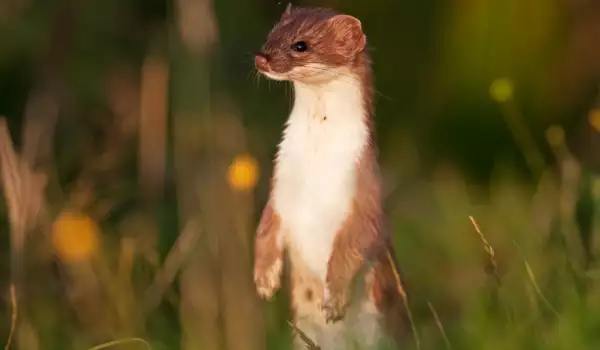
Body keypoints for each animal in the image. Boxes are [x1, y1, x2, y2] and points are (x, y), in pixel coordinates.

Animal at [251, 5, 410, 350]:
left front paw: (334, 300)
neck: (315, 165)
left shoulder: (364, 191)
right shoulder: (281, 185)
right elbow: (265, 226)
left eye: (301, 44)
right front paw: (265, 280)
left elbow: (356, 240)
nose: (261, 57)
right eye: (271, 33)